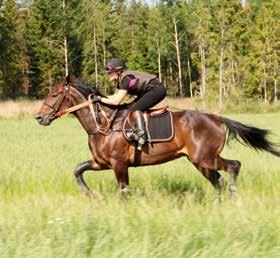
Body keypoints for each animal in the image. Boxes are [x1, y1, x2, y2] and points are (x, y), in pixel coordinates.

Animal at [36, 74, 278, 200]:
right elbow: (78, 170)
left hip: (205, 157)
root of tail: (217, 118)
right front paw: (90, 193)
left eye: (54, 94)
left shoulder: (119, 163)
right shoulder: (101, 163)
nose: (39, 117)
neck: (102, 124)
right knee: (217, 179)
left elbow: (124, 190)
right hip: (200, 161)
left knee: (234, 166)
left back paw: (232, 195)